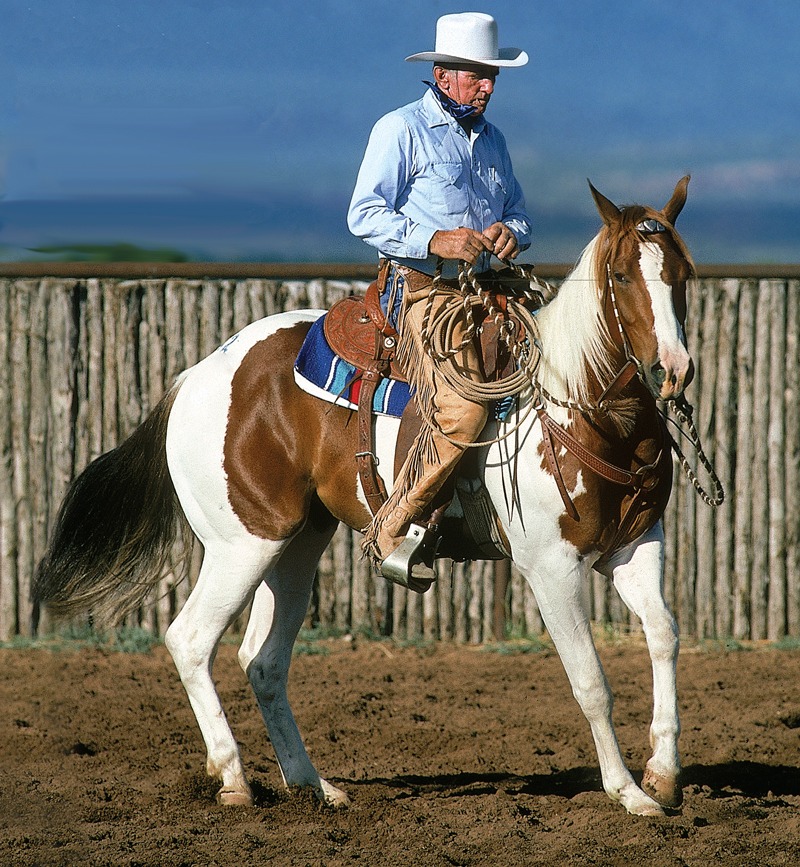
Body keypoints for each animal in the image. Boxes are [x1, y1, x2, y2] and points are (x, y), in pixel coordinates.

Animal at [35, 177, 695, 817]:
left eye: (682, 274)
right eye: (621, 275)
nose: (673, 369)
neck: (578, 404)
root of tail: (195, 376)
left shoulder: (637, 546)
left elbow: (665, 635)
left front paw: (663, 775)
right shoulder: (550, 567)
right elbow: (591, 681)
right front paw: (628, 793)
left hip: (296, 545)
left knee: (263, 660)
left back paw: (313, 786)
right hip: (242, 544)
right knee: (192, 640)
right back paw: (234, 779)